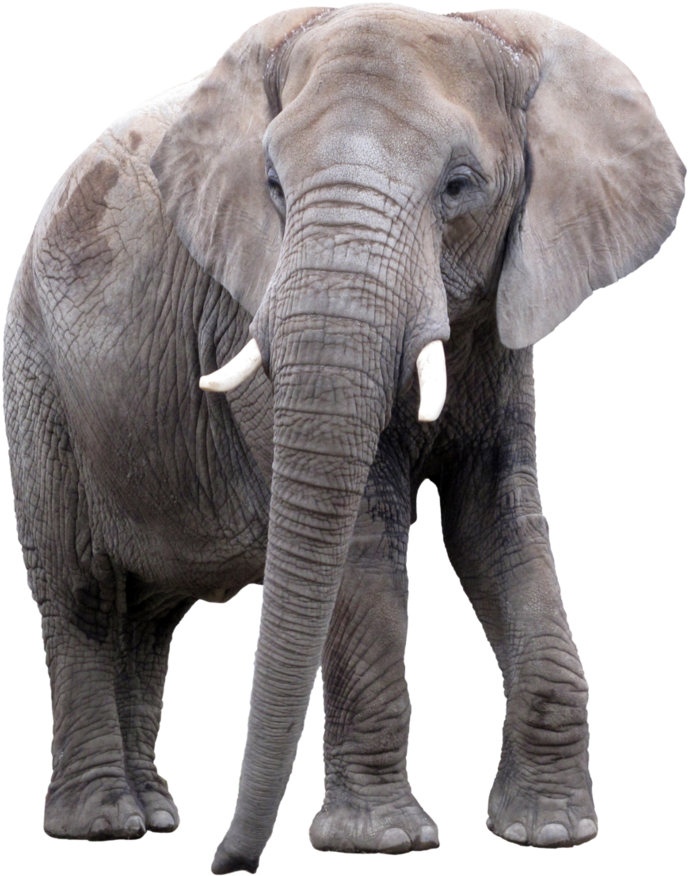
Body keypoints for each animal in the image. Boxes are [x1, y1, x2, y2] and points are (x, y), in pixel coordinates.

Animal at [3, 3, 684, 872]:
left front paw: (551, 832)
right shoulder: (245, 309)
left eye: (460, 186)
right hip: (38, 373)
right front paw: (383, 842)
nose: (230, 864)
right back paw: (105, 824)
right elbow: (363, 530)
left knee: (149, 618)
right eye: (272, 185)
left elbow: (498, 524)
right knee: (82, 590)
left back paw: (154, 813)